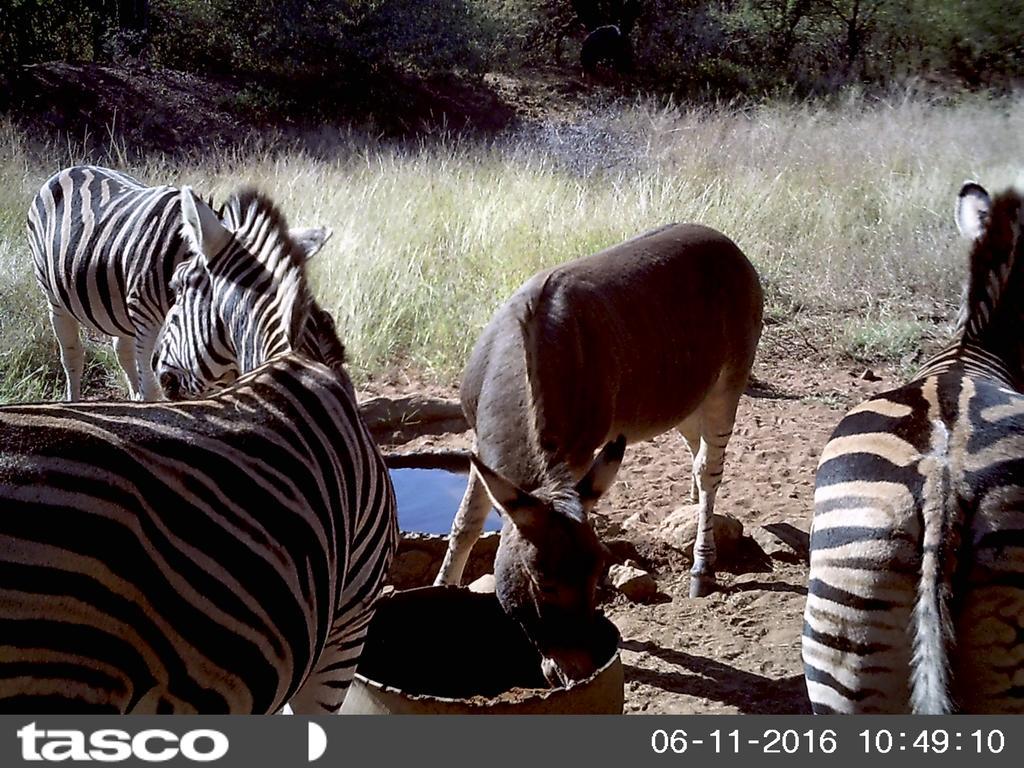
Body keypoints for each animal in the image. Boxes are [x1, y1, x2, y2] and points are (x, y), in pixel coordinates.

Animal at [24, 167, 329, 403]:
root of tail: (70, 169)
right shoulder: (146, 321)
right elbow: (153, 387)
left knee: (121, 350)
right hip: (55, 299)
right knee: (72, 355)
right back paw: (73, 399)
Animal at [432, 221, 761, 684]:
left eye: (598, 570)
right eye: (543, 581)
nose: (576, 671)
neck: (521, 351)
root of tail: (724, 241)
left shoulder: (582, 453)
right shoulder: (482, 443)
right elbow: (465, 525)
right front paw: (439, 591)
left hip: (729, 382)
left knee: (710, 466)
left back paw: (702, 567)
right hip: (685, 399)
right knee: (696, 455)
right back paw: (695, 505)